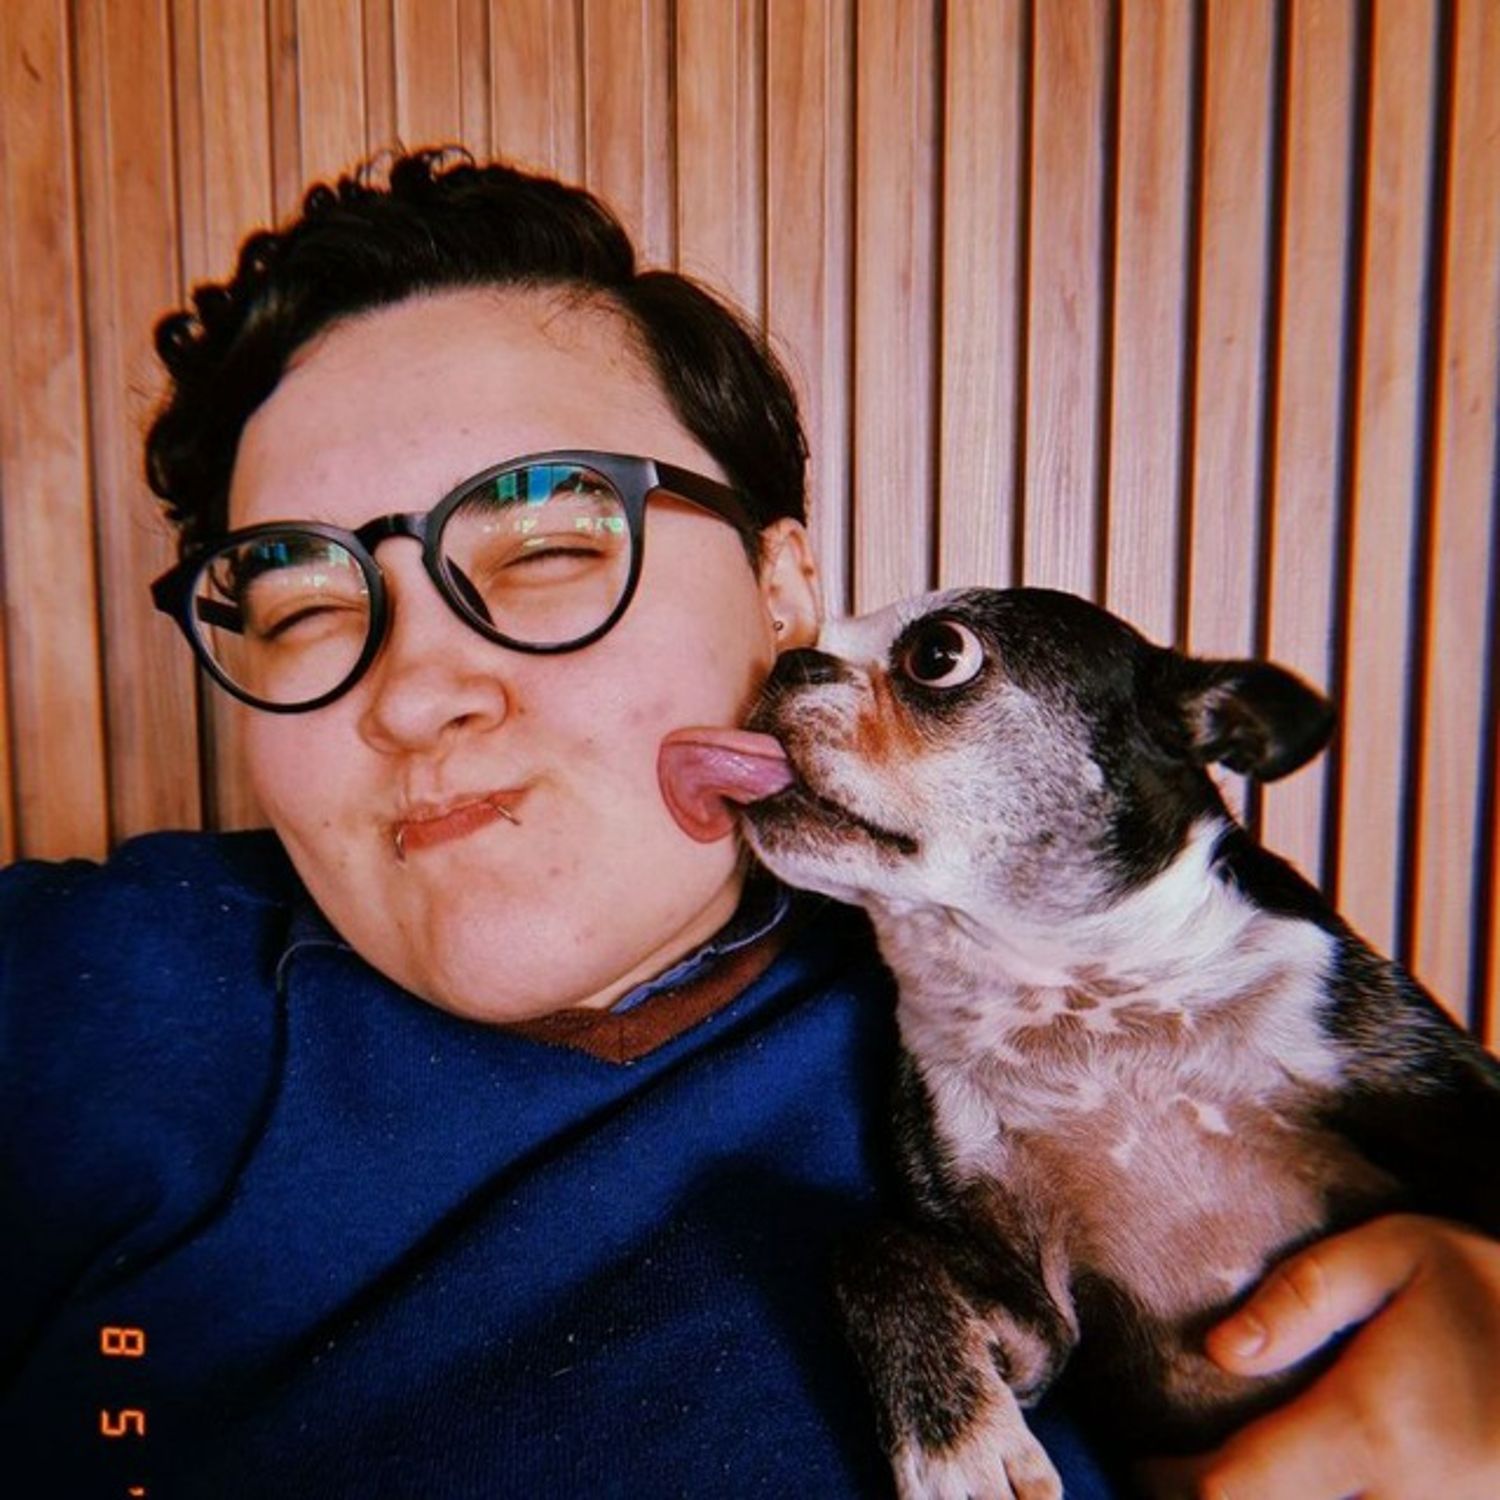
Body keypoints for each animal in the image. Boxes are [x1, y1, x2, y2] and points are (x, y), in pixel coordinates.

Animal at [659, 586, 1500, 1499]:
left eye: (939, 655)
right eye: (807, 637)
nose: (788, 661)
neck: (1077, 999)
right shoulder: (1038, 1321)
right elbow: (873, 1247)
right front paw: (957, 1444)